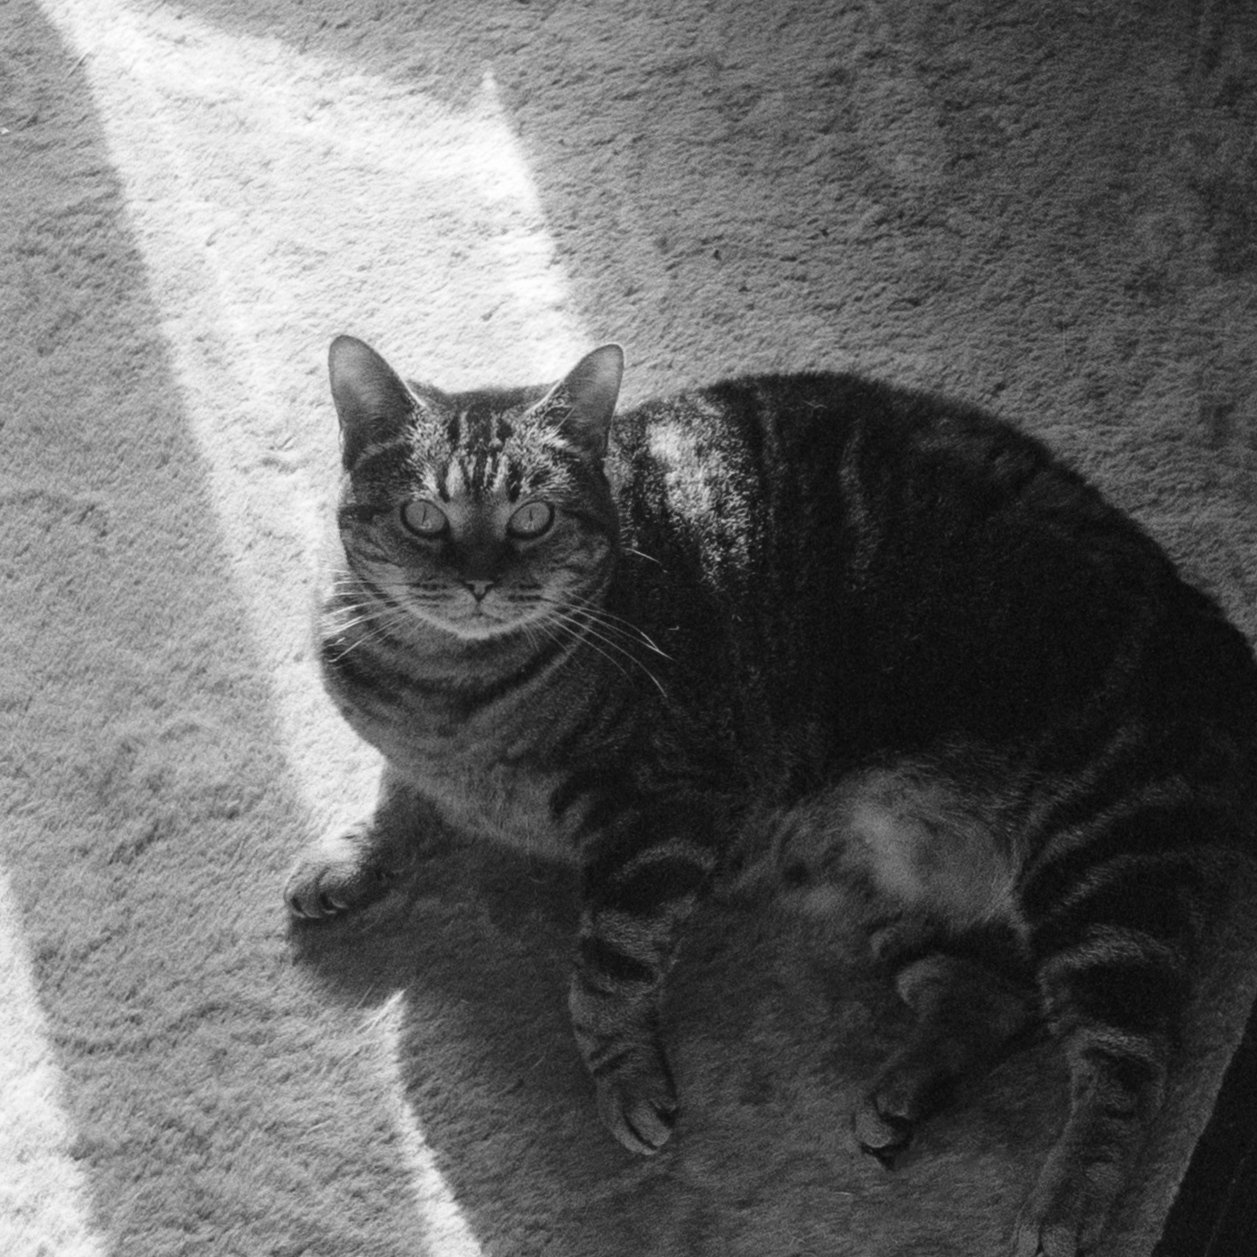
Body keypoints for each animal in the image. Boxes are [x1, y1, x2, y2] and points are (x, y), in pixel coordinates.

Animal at [285, 335, 1257, 1257]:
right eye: (422, 514)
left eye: (532, 516)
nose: (480, 579)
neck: (445, 693)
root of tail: (1208, 621)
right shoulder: (423, 765)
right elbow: (396, 802)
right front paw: (348, 858)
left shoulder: (665, 815)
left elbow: (605, 970)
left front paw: (626, 1083)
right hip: (896, 886)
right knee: (994, 998)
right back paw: (905, 1093)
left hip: (1103, 870)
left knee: (1129, 1066)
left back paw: (1063, 1203)